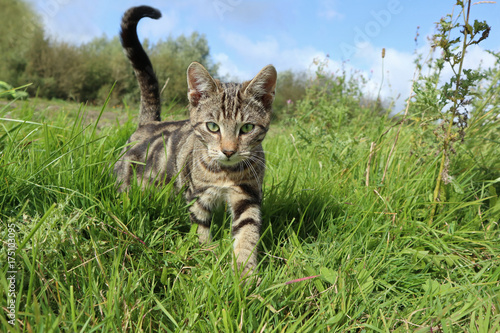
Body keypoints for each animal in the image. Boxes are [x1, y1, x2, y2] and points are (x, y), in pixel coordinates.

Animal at [114, 5, 278, 278]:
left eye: (247, 128)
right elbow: (199, 227)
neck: (225, 174)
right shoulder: (197, 195)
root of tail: (149, 123)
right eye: (212, 127)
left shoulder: (248, 193)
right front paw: (205, 255)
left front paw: (245, 274)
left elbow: (247, 231)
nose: (228, 151)